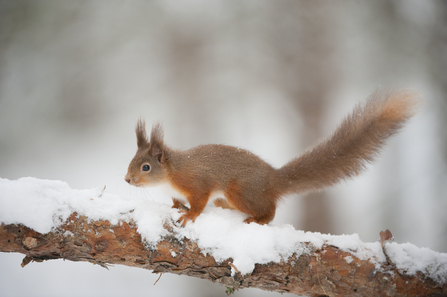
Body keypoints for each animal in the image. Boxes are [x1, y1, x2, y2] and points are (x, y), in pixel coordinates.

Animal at [125, 89, 420, 225]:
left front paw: (189, 215)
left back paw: (257, 219)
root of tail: (274, 179)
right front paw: (177, 208)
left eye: (146, 167)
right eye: (131, 162)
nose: (127, 180)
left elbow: (198, 200)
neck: (170, 176)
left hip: (240, 190)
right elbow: (177, 201)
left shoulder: (197, 182)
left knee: (270, 210)